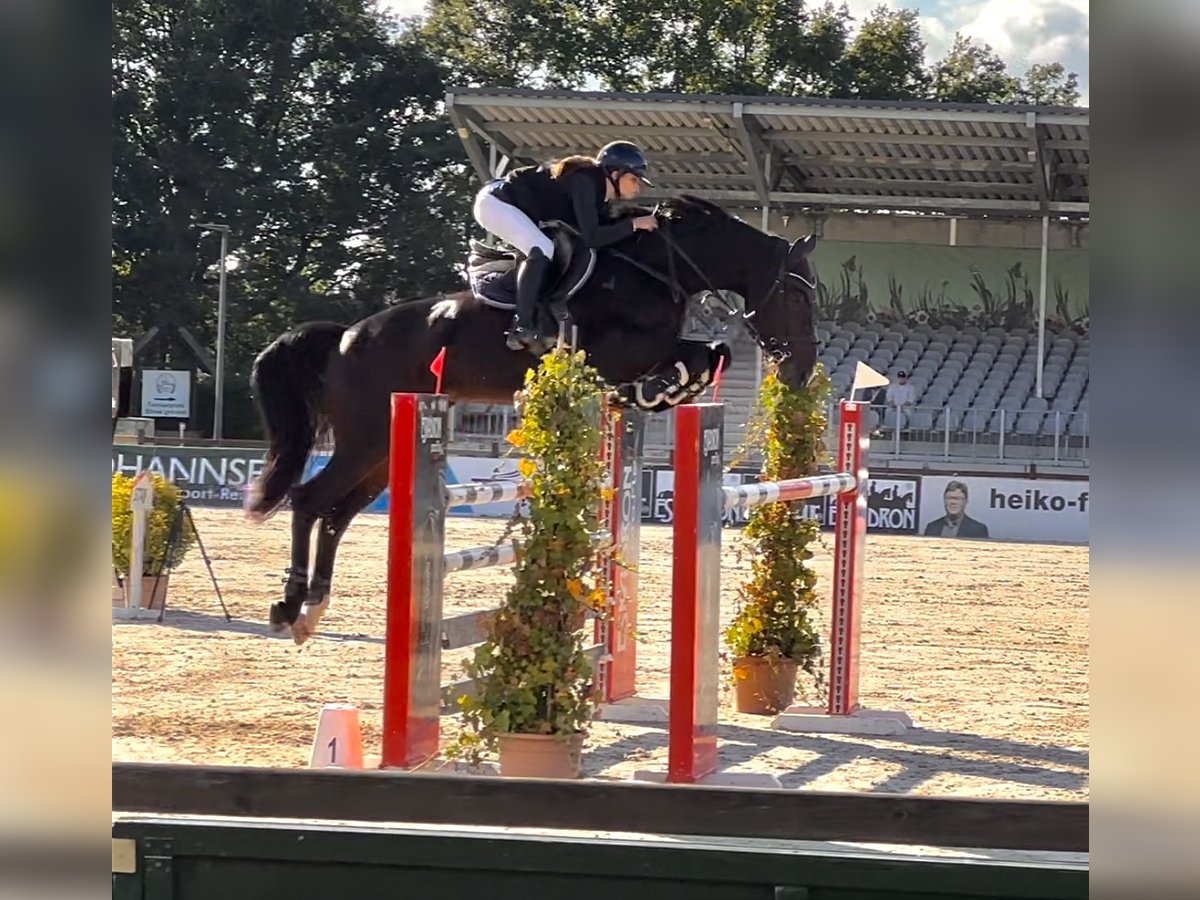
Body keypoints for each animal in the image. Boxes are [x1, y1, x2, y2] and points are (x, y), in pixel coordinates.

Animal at [248, 194, 820, 643]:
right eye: (796, 295)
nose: (802, 368)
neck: (659, 268)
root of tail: (345, 337)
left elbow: (711, 350)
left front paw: (664, 389)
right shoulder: (614, 353)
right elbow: (703, 351)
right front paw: (662, 388)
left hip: (384, 451)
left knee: (337, 513)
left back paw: (314, 608)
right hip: (364, 440)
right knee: (310, 500)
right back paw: (288, 607)